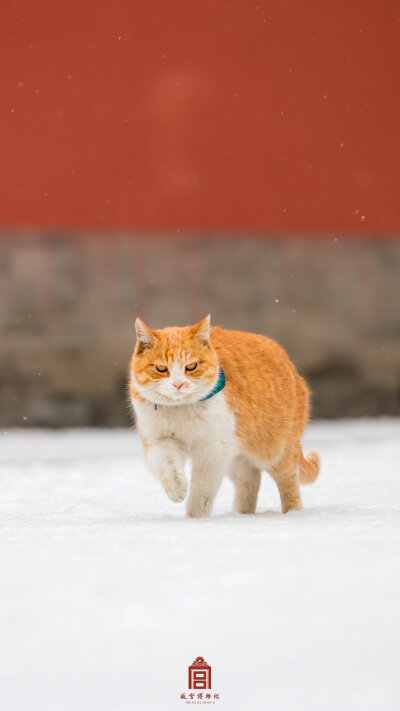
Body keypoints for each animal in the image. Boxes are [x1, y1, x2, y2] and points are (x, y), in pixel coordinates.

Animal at [130, 318, 320, 516]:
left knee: (288, 479)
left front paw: (195, 517)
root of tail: (291, 366)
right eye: (161, 368)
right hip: (237, 457)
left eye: (191, 366)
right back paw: (240, 514)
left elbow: (201, 491)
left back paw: (292, 512)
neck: (180, 411)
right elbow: (169, 466)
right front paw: (177, 490)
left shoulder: (213, 450)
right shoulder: (158, 440)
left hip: (274, 451)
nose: (178, 384)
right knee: (250, 481)